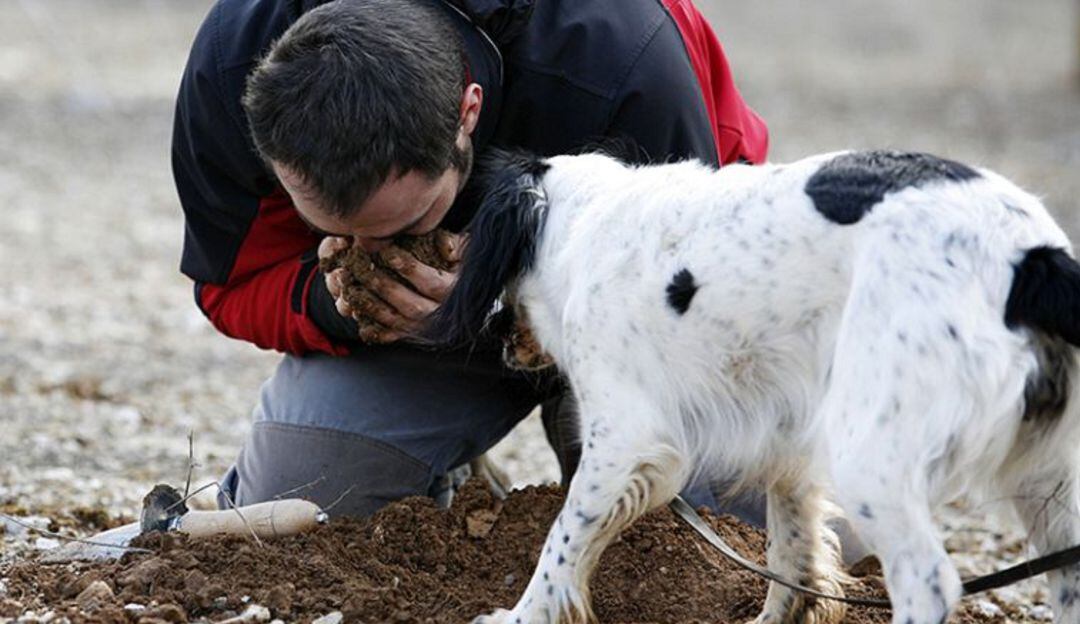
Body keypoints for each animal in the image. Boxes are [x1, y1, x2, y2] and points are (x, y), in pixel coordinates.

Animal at [425, 151, 1080, 621]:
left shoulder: (626, 438)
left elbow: (562, 538)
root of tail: (1031, 257)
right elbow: (793, 551)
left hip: (871, 458)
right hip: (1048, 485)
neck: (585, 225)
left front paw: (520, 616)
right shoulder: (787, 436)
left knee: (931, 583)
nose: (498, 338)